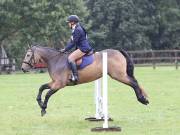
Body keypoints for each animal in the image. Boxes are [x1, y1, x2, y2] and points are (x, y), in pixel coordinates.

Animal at [21, 45, 149, 116]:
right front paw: (39, 102)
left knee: (134, 83)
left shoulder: (59, 84)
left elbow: (47, 94)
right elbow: (41, 87)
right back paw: (144, 98)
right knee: (135, 82)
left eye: (28, 55)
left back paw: (142, 100)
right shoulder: (54, 82)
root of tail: (118, 51)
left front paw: (43, 108)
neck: (55, 60)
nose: (23, 68)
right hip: (120, 75)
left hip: (119, 75)